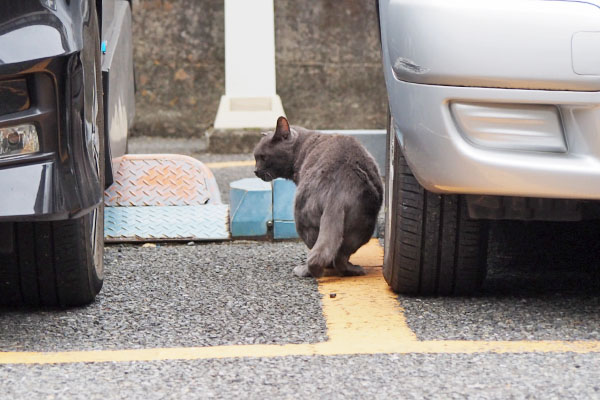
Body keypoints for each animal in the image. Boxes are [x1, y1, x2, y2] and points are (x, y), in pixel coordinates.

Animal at [254, 117, 384, 276]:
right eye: (255, 157)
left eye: (263, 157)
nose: (255, 170)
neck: (302, 146)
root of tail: (336, 194)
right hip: (363, 224)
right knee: (339, 256)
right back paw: (354, 269)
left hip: (302, 219)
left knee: (319, 254)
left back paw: (304, 269)